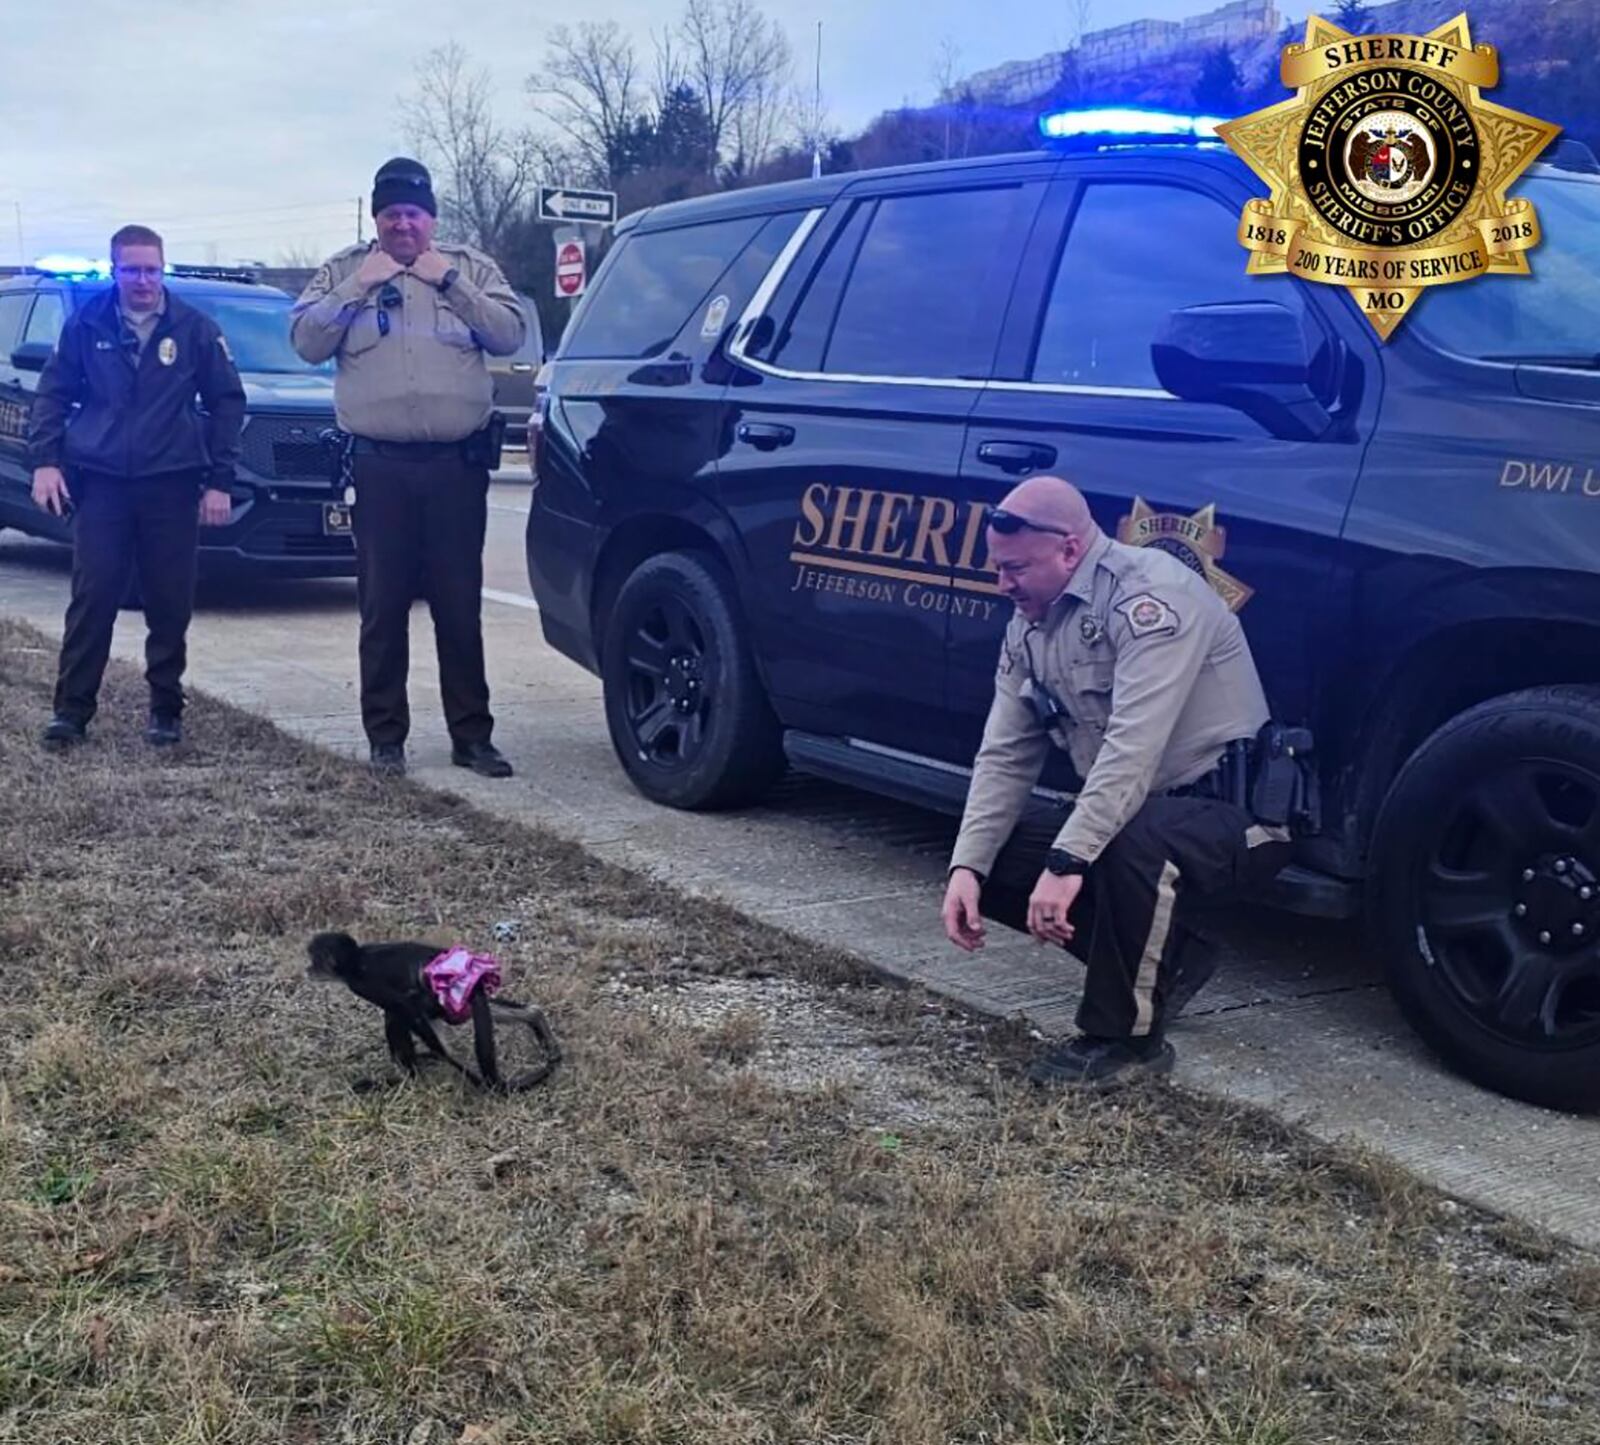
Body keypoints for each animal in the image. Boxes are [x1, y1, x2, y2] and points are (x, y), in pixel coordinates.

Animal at [305, 934, 563, 1088]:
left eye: (315, 961)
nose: (307, 969)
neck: (358, 958)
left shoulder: (362, 984)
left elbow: (403, 1008)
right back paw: (534, 1015)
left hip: (436, 999)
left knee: (397, 1014)